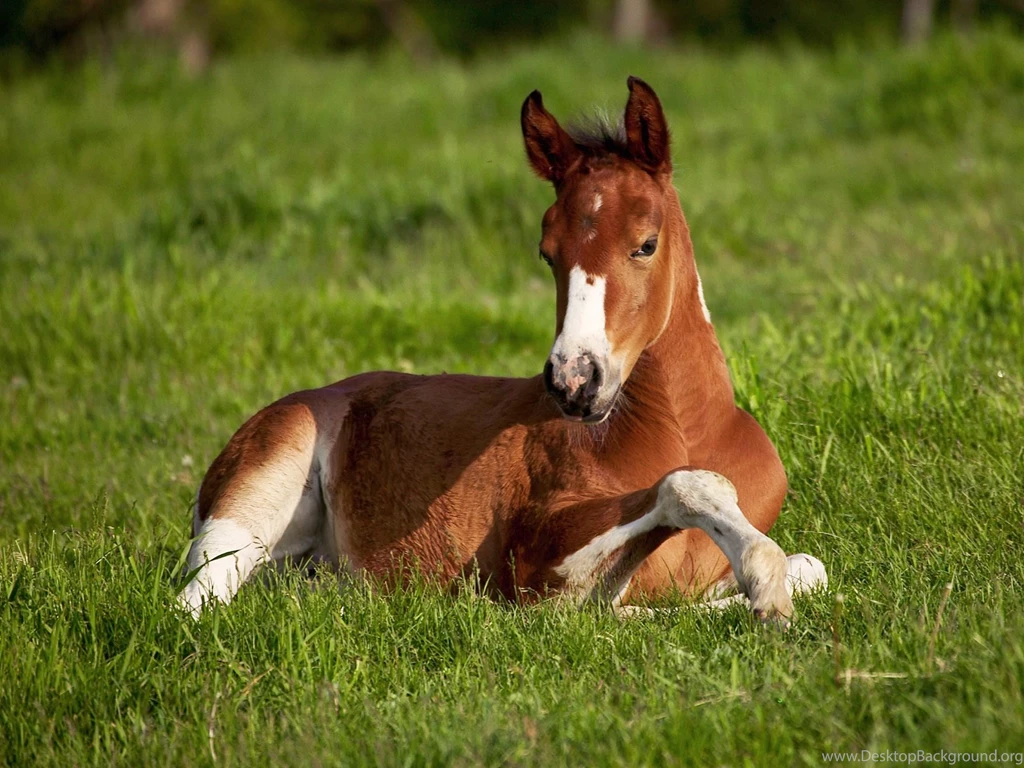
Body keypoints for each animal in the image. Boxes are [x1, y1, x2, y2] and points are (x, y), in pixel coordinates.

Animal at [178, 77, 827, 623]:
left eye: (646, 243)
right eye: (547, 253)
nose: (574, 380)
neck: (686, 430)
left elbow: (812, 568)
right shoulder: (534, 561)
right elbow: (680, 496)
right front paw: (763, 586)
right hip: (254, 494)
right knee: (195, 601)